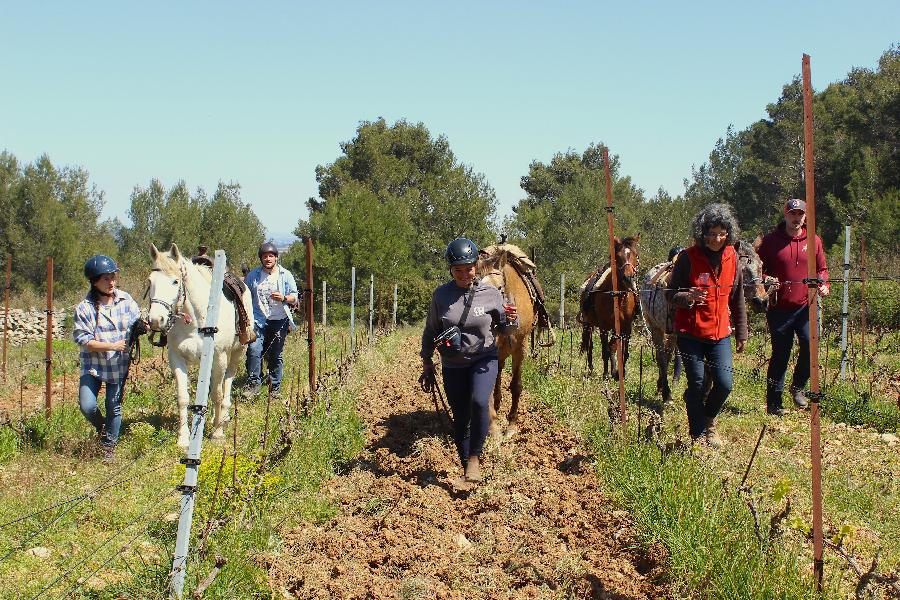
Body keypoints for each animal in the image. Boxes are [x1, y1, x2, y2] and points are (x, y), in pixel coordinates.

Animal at [146, 243, 255, 446]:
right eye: (150, 282)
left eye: (175, 282)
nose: (156, 320)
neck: (197, 321)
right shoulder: (177, 358)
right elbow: (183, 397)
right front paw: (183, 438)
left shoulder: (219, 357)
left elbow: (217, 394)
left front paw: (217, 432)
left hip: (237, 351)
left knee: (227, 381)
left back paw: (223, 417)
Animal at [474, 246, 536, 438]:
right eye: (475, 287)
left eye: (499, 287)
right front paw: (493, 428)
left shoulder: (520, 347)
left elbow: (516, 385)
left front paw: (511, 424)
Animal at [576, 234, 640, 376]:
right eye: (618, 256)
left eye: (635, 255)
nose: (629, 278)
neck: (617, 297)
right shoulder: (603, 327)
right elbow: (605, 350)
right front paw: (606, 374)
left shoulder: (626, 327)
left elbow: (623, 351)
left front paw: (620, 373)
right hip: (589, 324)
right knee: (590, 345)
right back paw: (591, 368)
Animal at [640, 239, 772, 404]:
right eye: (743, 269)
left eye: (761, 265)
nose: (761, 301)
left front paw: (704, 394)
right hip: (655, 327)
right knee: (661, 358)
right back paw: (666, 394)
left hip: (671, 332)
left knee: (668, 354)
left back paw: (660, 387)